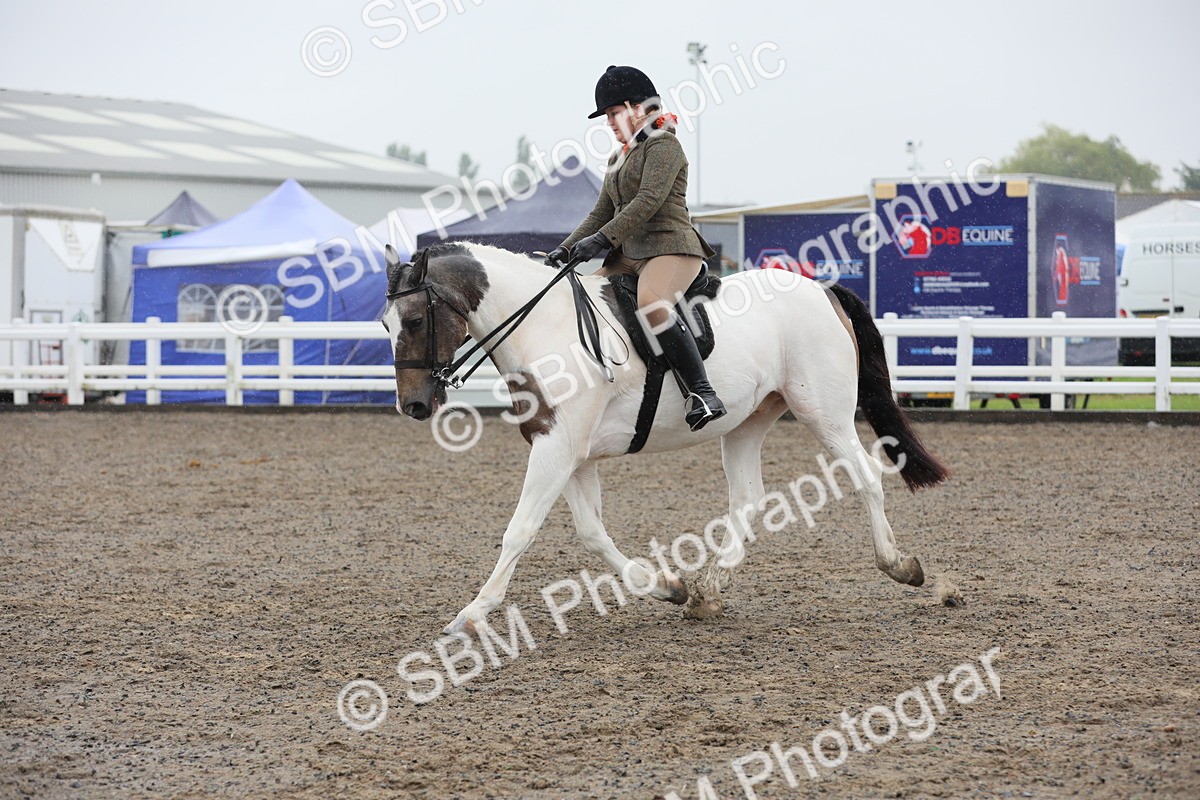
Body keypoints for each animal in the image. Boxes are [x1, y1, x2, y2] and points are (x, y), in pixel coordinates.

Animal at [380, 241, 949, 635]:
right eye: (385, 325)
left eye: (415, 320)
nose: (414, 407)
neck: (544, 326)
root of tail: (822, 289)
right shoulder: (569, 451)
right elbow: (591, 532)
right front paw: (665, 587)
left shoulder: (558, 448)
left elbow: (519, 530)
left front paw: (472, 615)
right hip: (747, 422)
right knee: (748, 499)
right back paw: (708, 593)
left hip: (824, 412)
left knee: (865, 476)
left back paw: (901, 566)